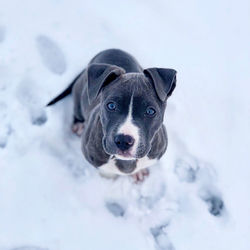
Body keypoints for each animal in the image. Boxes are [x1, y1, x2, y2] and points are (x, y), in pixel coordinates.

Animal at [47, 48, 176, 182]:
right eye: (111, 105)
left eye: (150, 111)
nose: (124, 140)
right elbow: (105, 170)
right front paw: (108, 177)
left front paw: (137, 172)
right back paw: (79, 125)